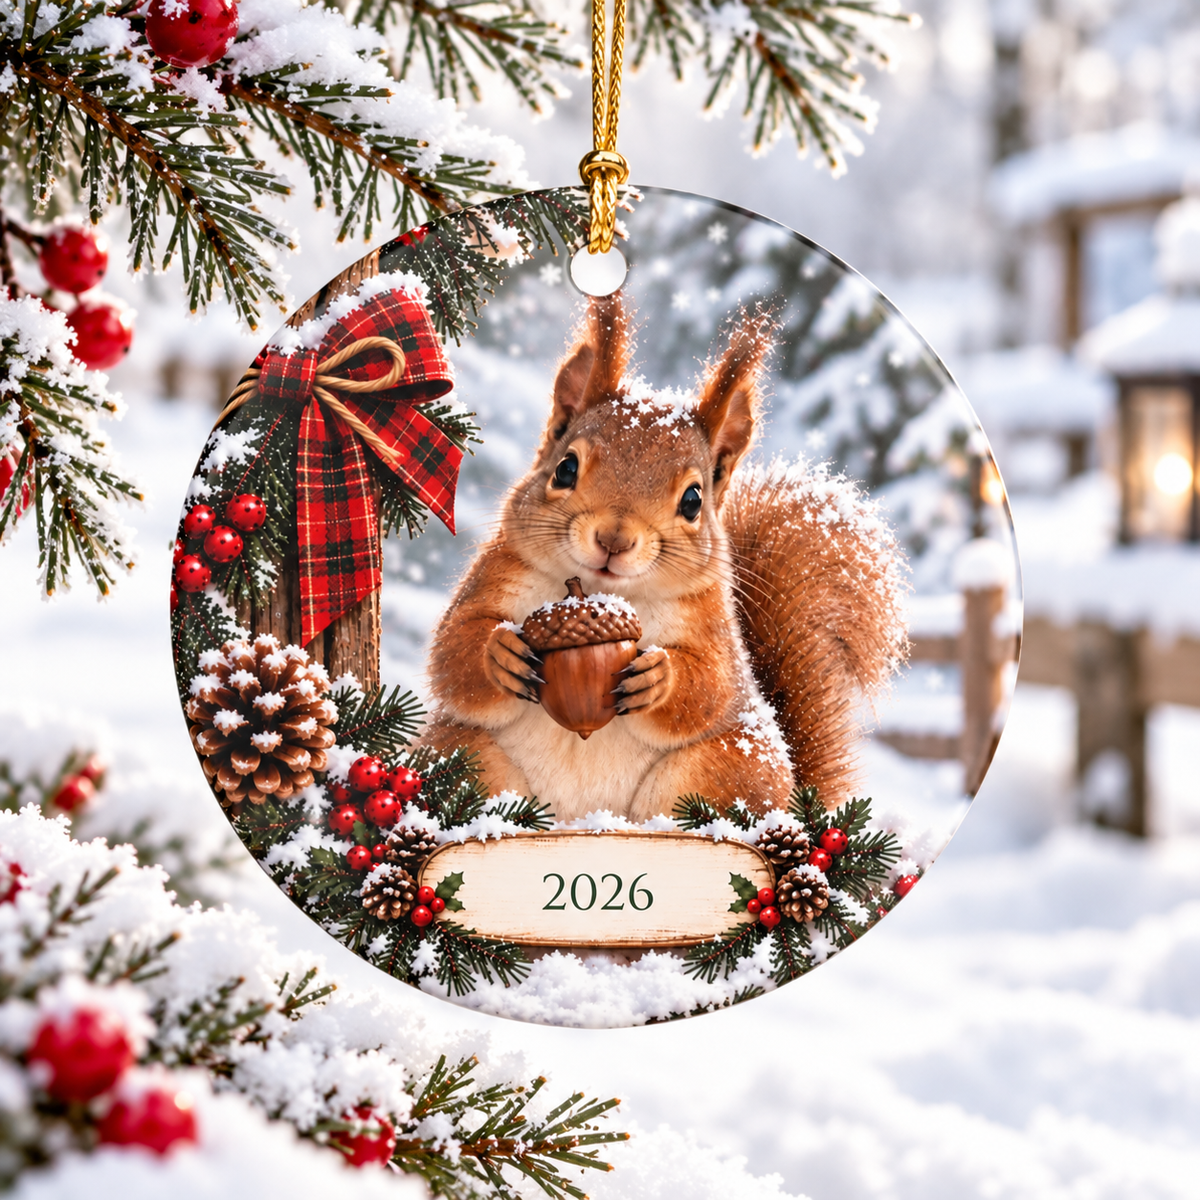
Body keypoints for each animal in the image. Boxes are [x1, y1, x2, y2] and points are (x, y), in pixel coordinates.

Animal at [420, 293, 907, 823]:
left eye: (693, 500)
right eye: (565, 468)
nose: (613, 540)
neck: (601, 593)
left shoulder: (711, 622)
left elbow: (709, 685)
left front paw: (661, 678)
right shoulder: (498, 571)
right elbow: (454, 646)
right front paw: (499, 652)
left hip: (715, 772)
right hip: (466, 757)